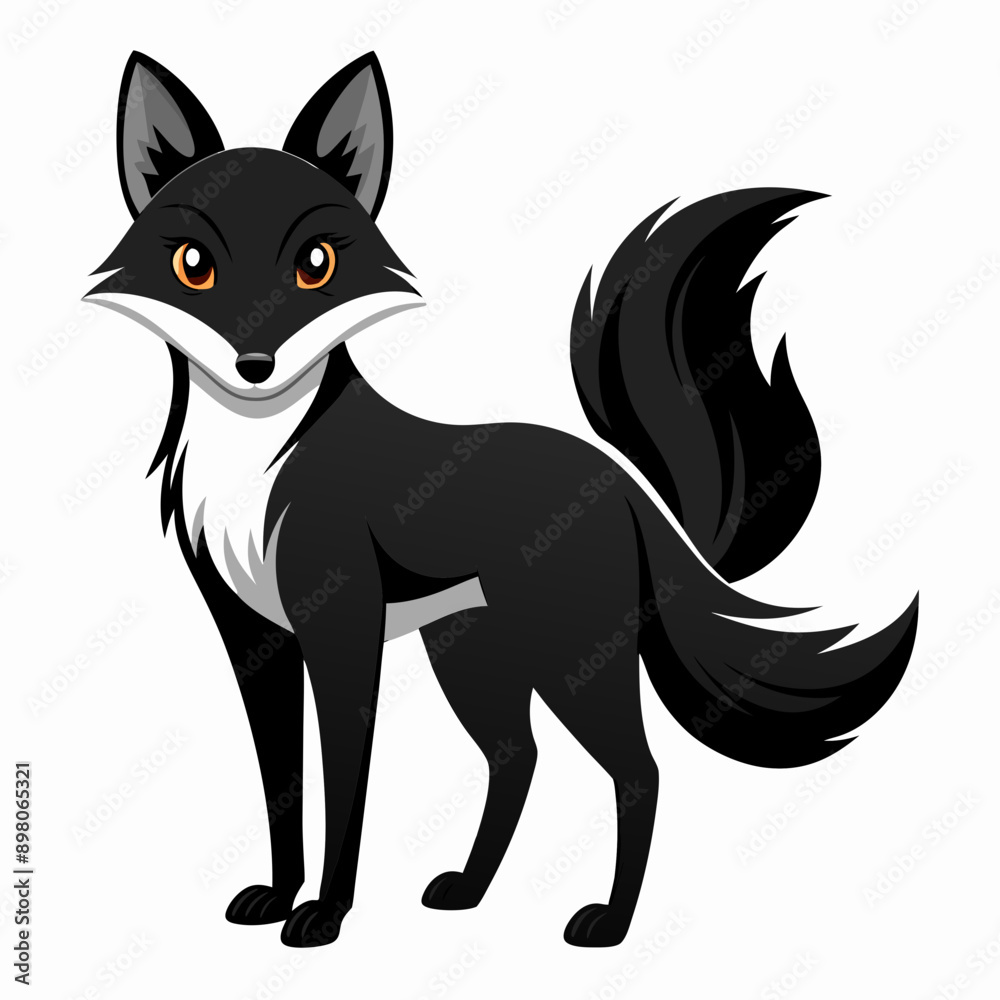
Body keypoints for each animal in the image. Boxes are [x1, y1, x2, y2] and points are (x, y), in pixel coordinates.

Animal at [86, 51, 918, 948]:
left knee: (639, 769)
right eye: (192, 265)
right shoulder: (253, 639)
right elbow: (283, 786)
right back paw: (471, 891)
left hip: (570, 657)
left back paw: (609, 924)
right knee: (517, 758)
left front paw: (325, 915)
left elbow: (345, 784)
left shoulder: (341, 630)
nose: (255, 364)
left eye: (315, 264)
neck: (254, 459)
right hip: (472, 653)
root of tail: (621, 483)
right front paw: (277, 896)